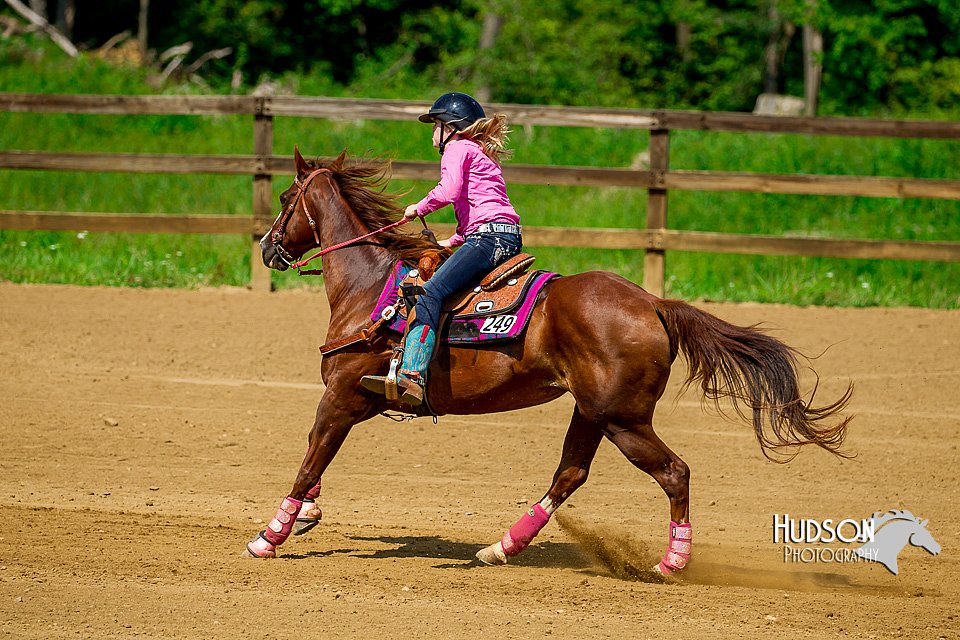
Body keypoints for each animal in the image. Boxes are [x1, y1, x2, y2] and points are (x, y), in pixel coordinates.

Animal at [249, 146, 856, 576]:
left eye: (283, 198)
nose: (266, 248)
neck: (370, 285)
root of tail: (654, 304)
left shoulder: (341, 396)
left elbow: (309, 459)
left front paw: (269, 536)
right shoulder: (360, 402)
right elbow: (317, 458)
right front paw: (306, 515)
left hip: (622, 419)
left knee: (673, 472)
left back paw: (671, 562)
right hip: (593, 412)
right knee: (570, 473)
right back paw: (501, 547)